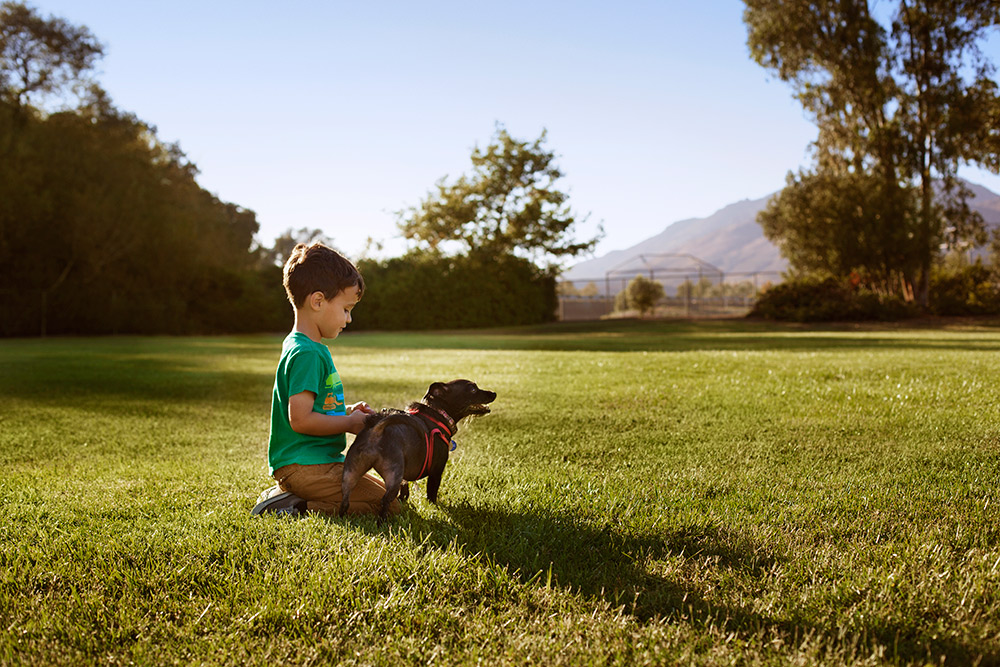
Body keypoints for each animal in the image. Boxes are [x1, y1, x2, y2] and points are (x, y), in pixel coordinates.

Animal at [342, 380, 498, 520]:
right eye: (472, 389)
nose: (494, 393)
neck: (439, 414)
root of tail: (377, 429)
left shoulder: (405, 477)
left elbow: (405, 490)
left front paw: (404, 501)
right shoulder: (436, 471)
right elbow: (432, 492)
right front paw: (434, 507)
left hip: (350, 473)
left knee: (345, 500)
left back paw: (342, 517)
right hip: (393, 476)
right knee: (385, 500)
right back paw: (383, 522)